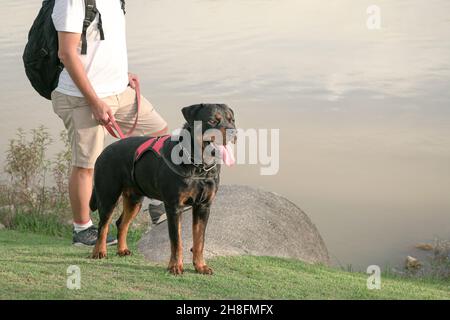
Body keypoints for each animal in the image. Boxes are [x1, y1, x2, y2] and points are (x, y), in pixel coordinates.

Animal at [88, 104, 236, 274]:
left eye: (231, 120)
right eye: (212, 120)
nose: (233, 131)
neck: (199, 166)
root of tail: (104, 151)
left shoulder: (203, 206)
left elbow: (199, 240)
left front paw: (201, 266)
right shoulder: (174, 206)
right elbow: (176, 240)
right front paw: (175, 266)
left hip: (134, 199)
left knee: (121, 223)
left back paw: (122, 250)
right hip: (108, 195)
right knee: (103, 225)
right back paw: (99, 251)